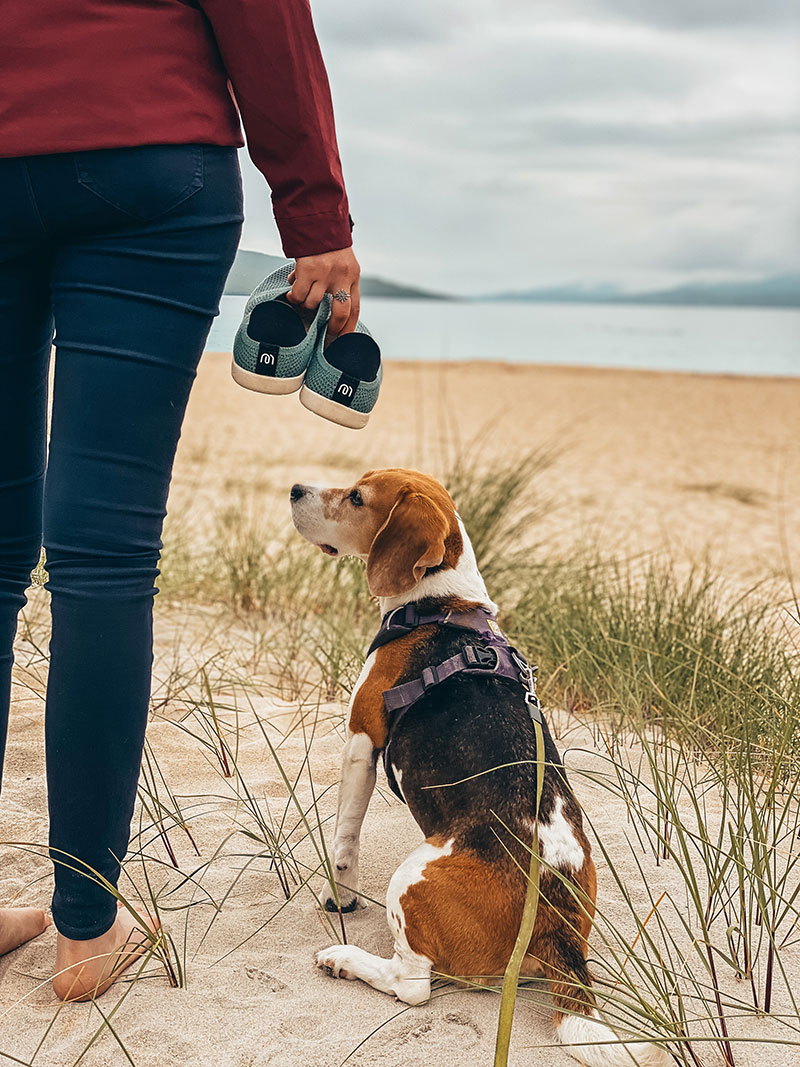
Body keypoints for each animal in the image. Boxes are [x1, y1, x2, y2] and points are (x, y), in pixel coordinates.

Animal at [292, 471, 665, 1062]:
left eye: (356, 497)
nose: (294, 489)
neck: (442, 601)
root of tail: (556, 915)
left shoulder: (360, 739)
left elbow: (345, 836)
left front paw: (340, 894)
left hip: (412, 875)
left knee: (412, 985)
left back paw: (345, 961)